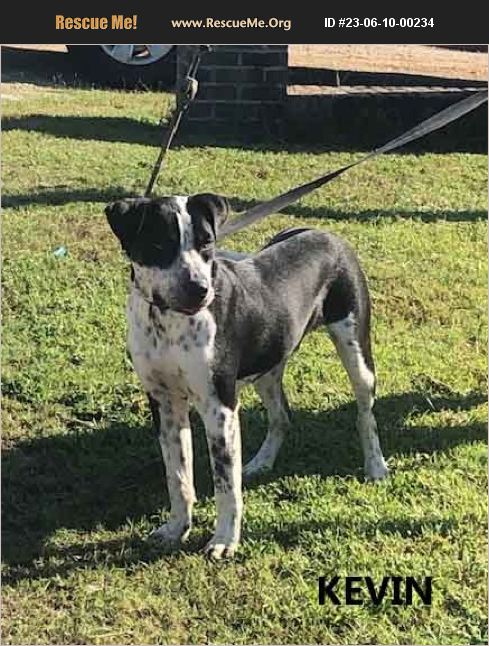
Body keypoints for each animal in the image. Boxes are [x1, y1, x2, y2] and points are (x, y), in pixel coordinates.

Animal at [106, 193, 388, 559]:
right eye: (159, 243)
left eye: (207, 243)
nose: (199, 289)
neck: (168, 321)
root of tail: (328, 234)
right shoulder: (164, 402)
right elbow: (178, 476)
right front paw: (175, 529)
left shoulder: (219, 406)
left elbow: (225, 484)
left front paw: (225, 540)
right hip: (268, 366)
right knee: (282, 416)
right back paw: (259, 464)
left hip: (356, 350)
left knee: (365, 415)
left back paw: (376, 466)